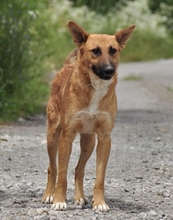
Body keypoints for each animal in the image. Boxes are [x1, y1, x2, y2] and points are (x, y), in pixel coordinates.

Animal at [42, 20, 134, 211]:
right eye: (95, 51)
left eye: (113, 50)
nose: (109, 70)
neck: (95, 87)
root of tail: (66, 67)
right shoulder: (67, 136)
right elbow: (62, 174)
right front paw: (59, 201)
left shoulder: (105, 138)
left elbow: (99, 177)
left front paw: (99, 203)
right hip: (52, 137)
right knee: (52, 168)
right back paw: (49, 195)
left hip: (89, 143)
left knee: (79, 170)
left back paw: (79, 197)